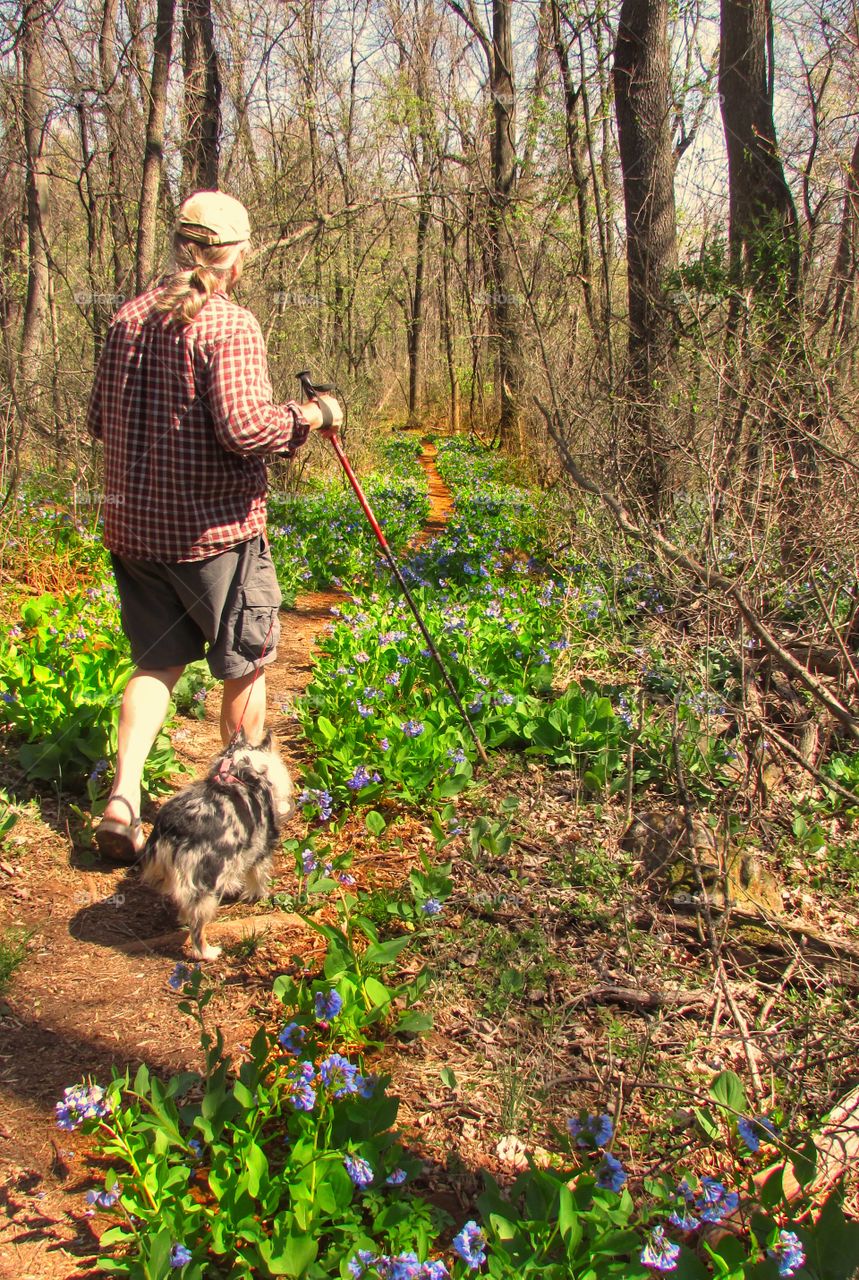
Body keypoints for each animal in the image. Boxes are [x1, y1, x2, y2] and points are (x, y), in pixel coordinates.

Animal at [137, 732, 291, 962]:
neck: (241, 768)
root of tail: (175, 828)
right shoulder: (262, 847)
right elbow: (258, 877)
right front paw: (259, 895)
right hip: (207, 885)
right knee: (198, 927)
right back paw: (207, 953)